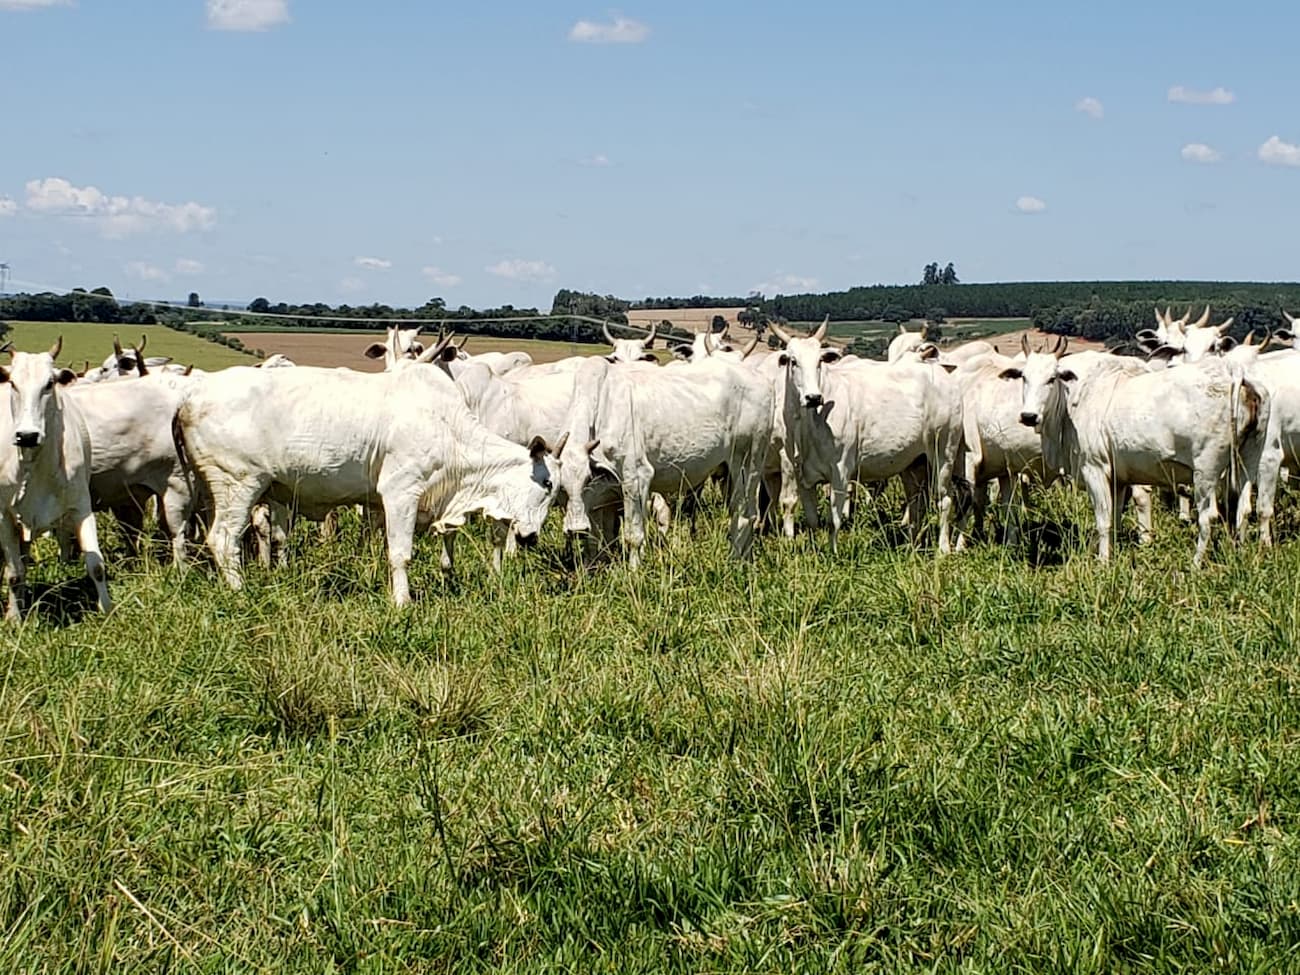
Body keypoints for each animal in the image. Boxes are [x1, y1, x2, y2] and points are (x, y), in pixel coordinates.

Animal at [0, 340, 113, 621]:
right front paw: (14, 619)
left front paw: (106, 610)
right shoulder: (4, 516)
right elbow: (14, 574)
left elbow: (96, 565)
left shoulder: (82, 507)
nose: (27, 435)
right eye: (13, 383)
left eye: (49, 384)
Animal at [172, 356, 559, 608]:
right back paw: (240, 592)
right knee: (223, 540)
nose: (531, 538)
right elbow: (400, 554)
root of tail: (189, 398)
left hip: (215, 490)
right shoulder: (402, 491)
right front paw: (403, 601)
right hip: (239, 483)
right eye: (547, 485)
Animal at [556, 353, 769, 564]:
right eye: (561, 486)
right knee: (745, 514)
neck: (601, 408)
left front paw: (634, 571)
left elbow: (633, 536)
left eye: (587, 479)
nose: (576, 529)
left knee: (743, 517)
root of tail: (760, 379)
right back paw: (747, 559)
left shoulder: (636, 477)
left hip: (748, 465)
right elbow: (596, 539)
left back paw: (736, 562)